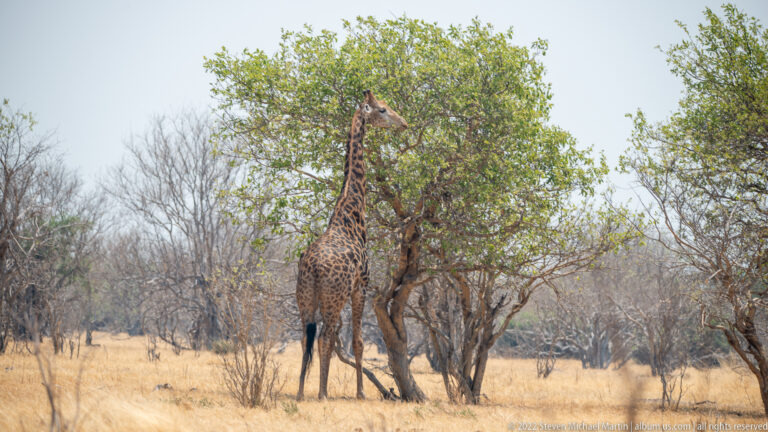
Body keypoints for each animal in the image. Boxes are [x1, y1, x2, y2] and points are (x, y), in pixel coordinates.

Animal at [295, 90, 408, 401]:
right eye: (382, 109)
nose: (403, 123)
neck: (351, 212)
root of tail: (313, 267)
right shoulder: (361, 286)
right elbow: (358, 341)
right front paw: (360, 393)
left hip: (305, 296)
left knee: (305, 338)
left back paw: (300, 392)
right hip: (333, 296)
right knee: (325, 337)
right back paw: (322, 393)